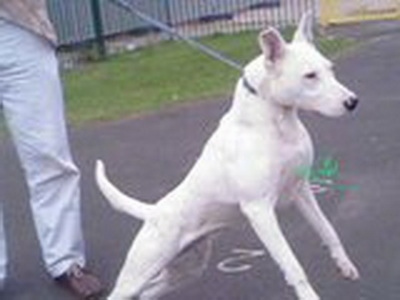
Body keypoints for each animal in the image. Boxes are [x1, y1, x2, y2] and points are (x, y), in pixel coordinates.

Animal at [96, 12, 360, 300]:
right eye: (310, 76)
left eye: (330, 69)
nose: (352, 102)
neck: (275, 122)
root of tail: (153, 212)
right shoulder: (260, 211)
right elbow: (292, 264)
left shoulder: (301, 191)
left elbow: (328, 229)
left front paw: (344, 264)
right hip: (138, 274)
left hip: (186, 269)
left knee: (148, 293)